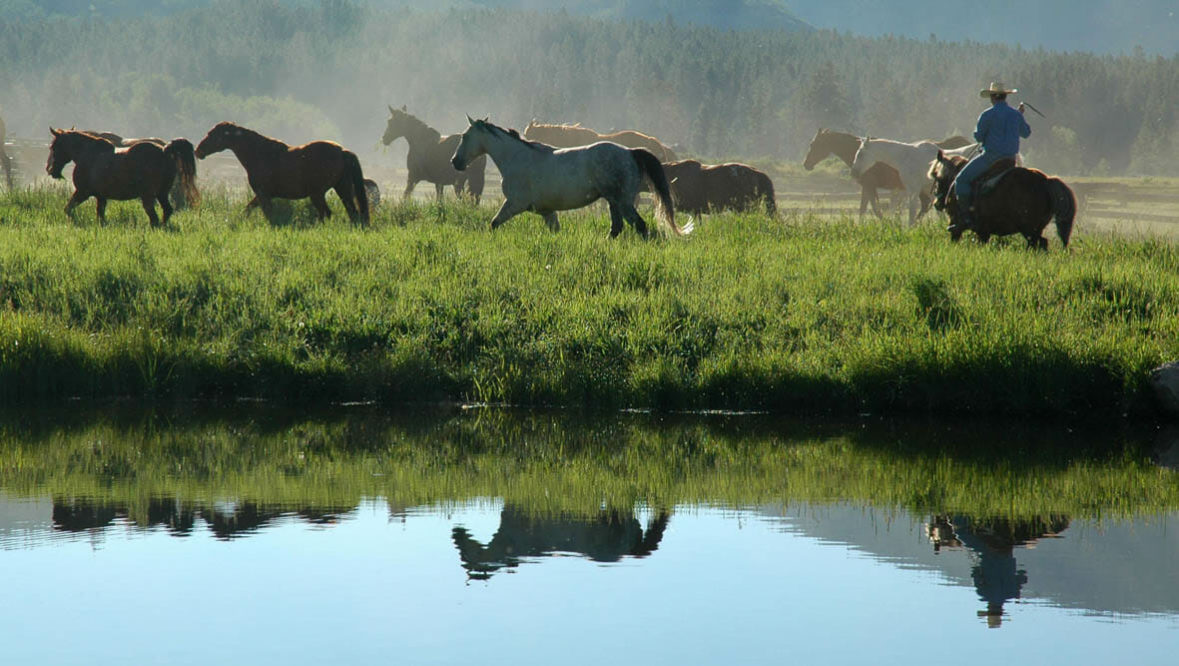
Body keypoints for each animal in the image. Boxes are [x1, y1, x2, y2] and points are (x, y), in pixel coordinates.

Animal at [46, 128, 198, 227]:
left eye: (53, 146)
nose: (50, 170)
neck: (85, 153)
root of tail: (164, 150)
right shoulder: (101, 197)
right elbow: (100, 216)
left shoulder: (82, 192)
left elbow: (68, 209)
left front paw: (73, 222)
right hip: (162, 193)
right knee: (167, 211)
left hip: (148, 195)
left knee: (154, 217)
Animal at [194, 121, 369, 226]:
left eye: (212, 134)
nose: (198, 151)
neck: (260, 154)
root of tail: (342, 151)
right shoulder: (262, 195)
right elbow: (247, 209)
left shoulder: (263, 194)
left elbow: (269, 216)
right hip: (342, 188)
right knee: (352, 213)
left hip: (317, 194)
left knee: (326, 213)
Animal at [804, 129, 971, 218]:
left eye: (814, 144)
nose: (806, 164)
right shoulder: (869, 187)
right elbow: (865, 209)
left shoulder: (869, 185)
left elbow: (874, 209)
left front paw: (886, 224)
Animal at [928, 151, 1075, 250]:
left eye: (936, 176)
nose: (937, 204)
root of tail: (1046, 181)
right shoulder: (983, 232)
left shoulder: (956, 224)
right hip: (1036, 229)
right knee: (1042, 243)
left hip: (1029, 230)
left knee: (1036, 243)